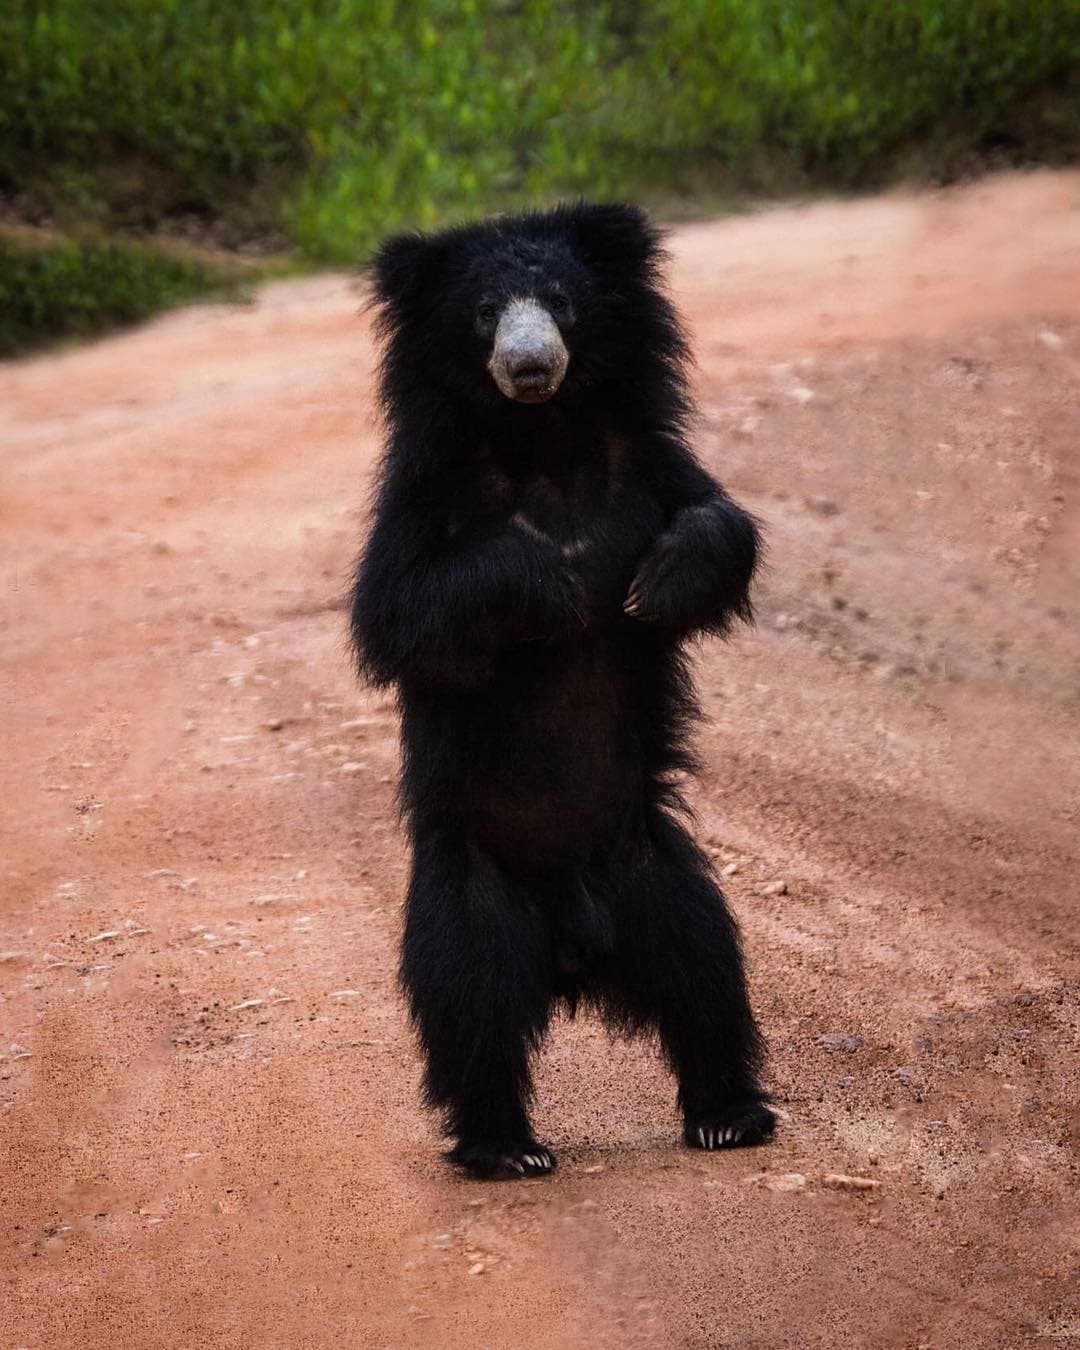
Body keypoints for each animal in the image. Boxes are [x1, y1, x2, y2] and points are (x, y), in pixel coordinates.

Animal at [350, 201, 775, 1178]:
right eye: (483, 314)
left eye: (559, 303)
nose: (530, 364)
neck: (540, 441)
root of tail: (577, 946)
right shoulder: (425, 495)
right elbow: (399, 608)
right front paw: (552, 584)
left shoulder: (647, 462)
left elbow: (718, 519)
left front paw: (653, 585)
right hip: (471, 886)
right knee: (469, 1002)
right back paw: (504, 1146)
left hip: (653, 866)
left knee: (705, 971)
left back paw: (730, 1113)